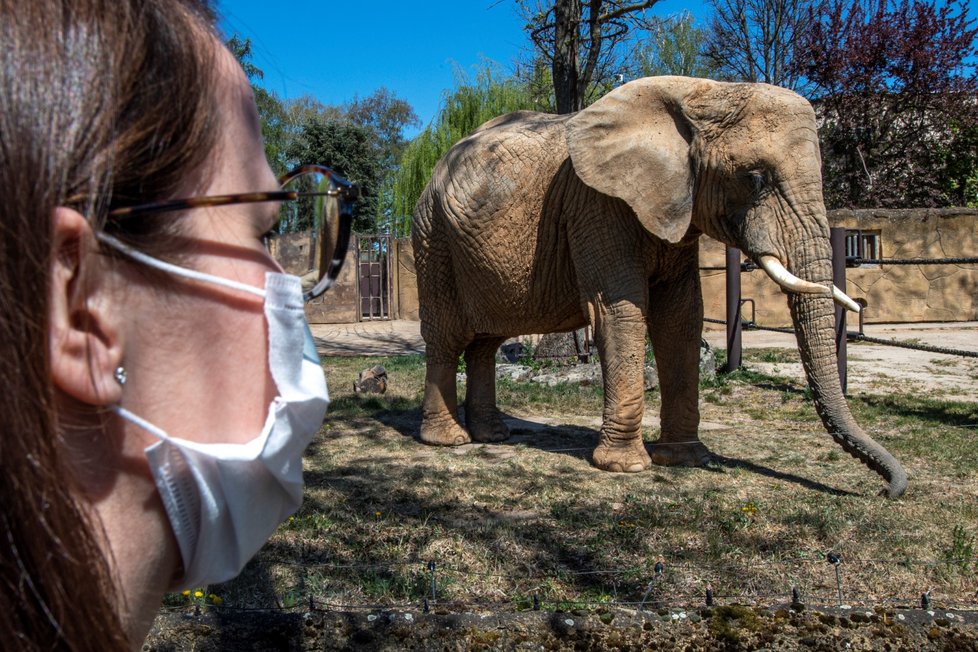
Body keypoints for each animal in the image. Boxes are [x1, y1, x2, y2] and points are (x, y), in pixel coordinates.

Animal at [410, 74, 908, 496]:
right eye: (754, 178)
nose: (889, 489)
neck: (703, 93)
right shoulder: (596, 203)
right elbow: (619, 310)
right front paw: (625, 467)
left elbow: (681, 315)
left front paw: (686, 458)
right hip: (433, 237)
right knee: (448, 335)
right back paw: (449, 441)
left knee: (486, 342)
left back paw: (492, 434)